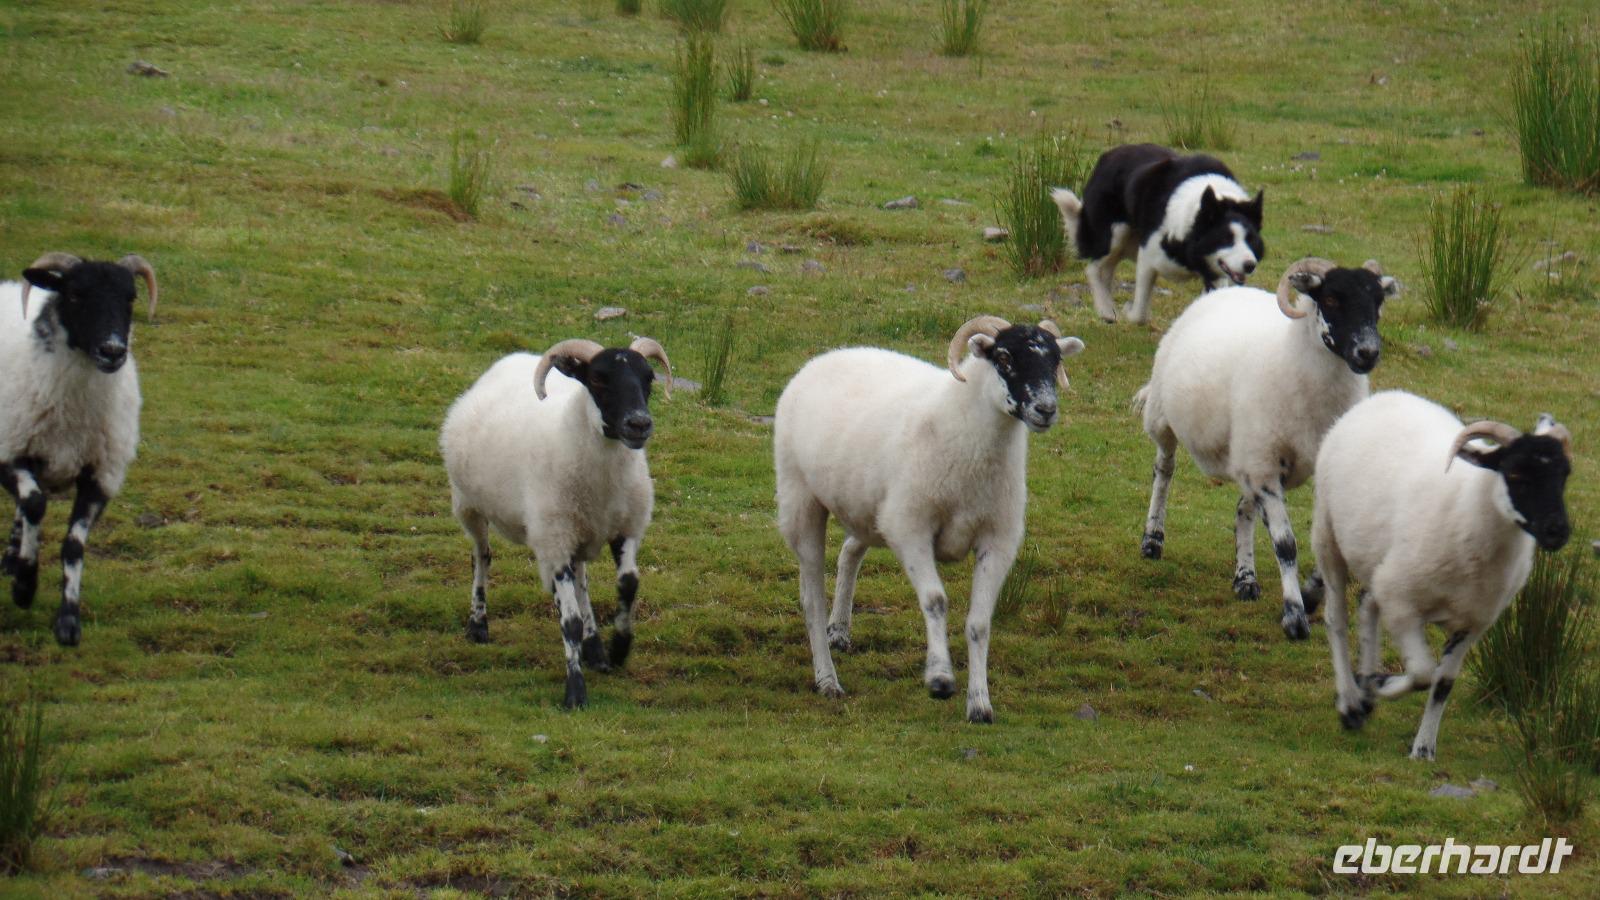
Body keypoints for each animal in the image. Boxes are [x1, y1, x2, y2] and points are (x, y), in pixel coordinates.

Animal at [1, 251, 157, 646]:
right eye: (74, 295)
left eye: (130, 297)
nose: (113, 351)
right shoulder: (8, 453)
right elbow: (35, 503)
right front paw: (24, 586)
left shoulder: (101, 475)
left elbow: (73, 545)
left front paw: (68, 621)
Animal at [440, 336, 673, 709]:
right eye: (598, 378)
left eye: (648, 378)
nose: (639, 424)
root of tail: (513, 359)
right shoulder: (555, 539)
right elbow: (570, 621)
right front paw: (575, 691)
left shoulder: (624, 528)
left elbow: (628, 585)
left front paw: (618, 648)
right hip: (470, 506)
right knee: (481, 557)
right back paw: (478, 624)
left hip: (574, 529)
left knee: (582, 581)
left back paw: (594, 648)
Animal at [774, 315, 1085, 723]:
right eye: (1003, 356)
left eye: (1055, 359)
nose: (1046, 409)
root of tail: (826, 357)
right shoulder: (911, 529)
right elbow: (935, 601)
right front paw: (940, 679)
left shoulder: (998, 539)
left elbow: (979, 623)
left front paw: (979, 703)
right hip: (802, 499)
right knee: (812, 598)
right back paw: (827, 679)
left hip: (872, 511)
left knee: (849, 551)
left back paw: (839, 630)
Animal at [1135, 257, 1398, 640]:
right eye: (1331, 298)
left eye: (1378, 301)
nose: (1367, 353)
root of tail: (1225, 292)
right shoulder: (1264, 466)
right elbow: (1285, 544)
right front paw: (1294, 616)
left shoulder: (1300, 467)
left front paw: (1310, 596)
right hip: (1164, 418)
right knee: (1164, 471)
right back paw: (1152, 539)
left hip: (1250, 458)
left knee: (1242, 509)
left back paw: (1245, 579)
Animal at [1311, 393, 1573, 760]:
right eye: (1515, 472)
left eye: (1564, 474)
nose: (1557, 532)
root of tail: (1385, 395)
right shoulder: (1404, 606)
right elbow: (1422, 672)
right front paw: (1383, 685)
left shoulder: (1474, 623)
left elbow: (1442, 684)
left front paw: (1423, 749)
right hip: (1328, 536)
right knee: (1336, 618)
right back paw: (1351, 703)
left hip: (1383, 568)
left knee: (1368, 604)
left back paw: (1364, 690)